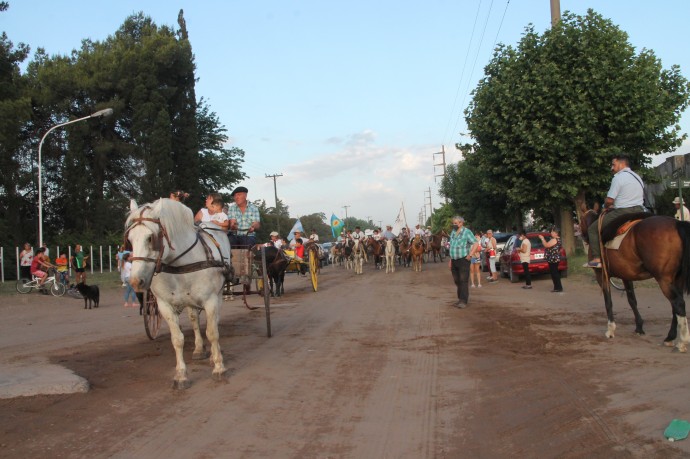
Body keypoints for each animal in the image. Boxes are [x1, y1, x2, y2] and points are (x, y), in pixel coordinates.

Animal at [124, 199, 231, 390]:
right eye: (130, 240)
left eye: (150, 238)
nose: (136, 282)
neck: (181, 265)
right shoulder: (164, 305)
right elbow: (177, 339)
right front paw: (181, 375)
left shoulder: (210, 300)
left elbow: (212, 332)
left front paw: (219, 366)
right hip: (189, 301)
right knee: (194, 320)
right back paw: (198, 349)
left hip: (218, 295)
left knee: (214, 322)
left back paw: (213, 354)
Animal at [576, 212, 688, 352]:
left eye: (580, 221)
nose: (581, 235)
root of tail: (677, 223)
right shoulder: (626, 276)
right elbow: (632, 300)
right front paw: (639, 327)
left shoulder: (601, 276)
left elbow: (608, 302)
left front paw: (610, 329)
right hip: (677, 279)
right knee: (675, 307)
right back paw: (669, 338)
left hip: (664, 279)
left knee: (678, 303)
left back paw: (682, 342)